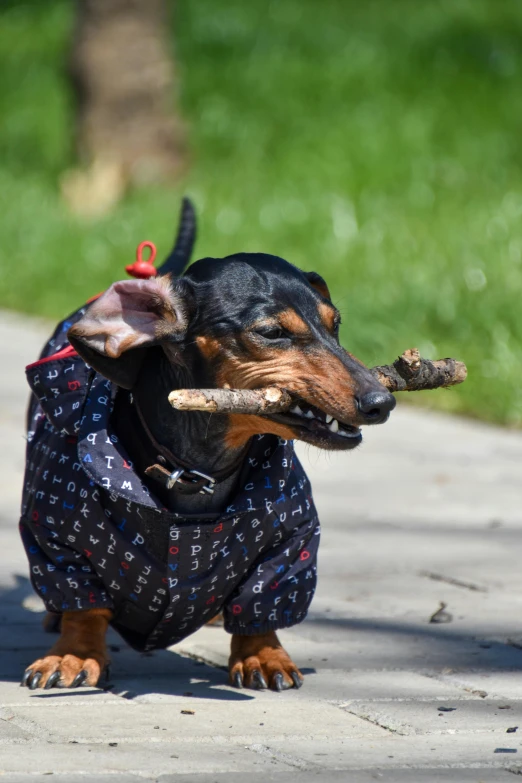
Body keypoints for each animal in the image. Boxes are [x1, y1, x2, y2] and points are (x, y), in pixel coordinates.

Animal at [20, 201, 394, 692]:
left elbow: (262, 596)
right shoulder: (55, 534)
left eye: (336, 326)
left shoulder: (291, 538)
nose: (381, 401)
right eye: (272, 332)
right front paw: (74, 653)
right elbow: (85, 603)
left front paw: (263, 655)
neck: (197, 470)